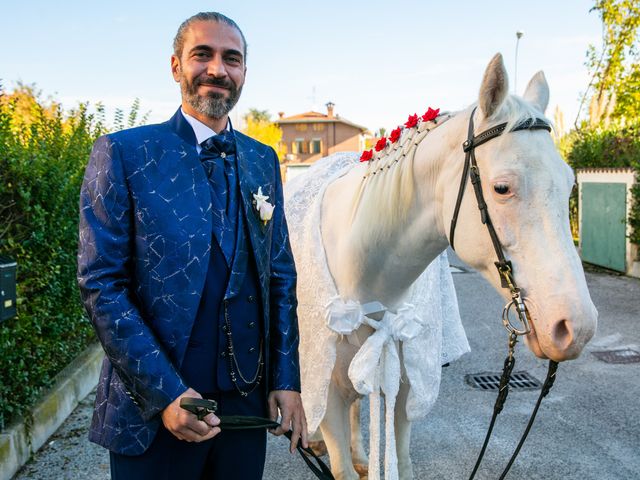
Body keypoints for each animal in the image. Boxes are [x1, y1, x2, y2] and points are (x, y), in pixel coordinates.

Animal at [282, 54, 596, 478]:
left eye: (569, 184)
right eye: (501, 188)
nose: (576, 328)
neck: (364, 275)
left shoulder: (406, 386)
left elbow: (400, 457)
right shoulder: (324, 392)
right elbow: (339, 461)